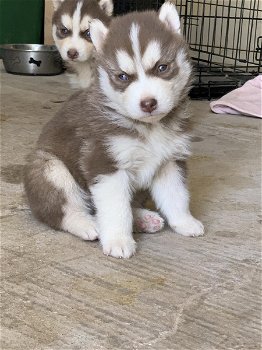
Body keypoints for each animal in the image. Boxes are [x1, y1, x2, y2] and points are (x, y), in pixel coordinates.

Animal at [24, 2, 205, 258]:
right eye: (122, 76)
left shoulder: (170, 161)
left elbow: (176, 196)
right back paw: (89, 223)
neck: (148, 129)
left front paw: (184, 222)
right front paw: (118, 240)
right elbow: (116, 209)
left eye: (162, 67)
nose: (148, 103)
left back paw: (143, 219)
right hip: (48, 168)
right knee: (62, 211)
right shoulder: (104, 164)